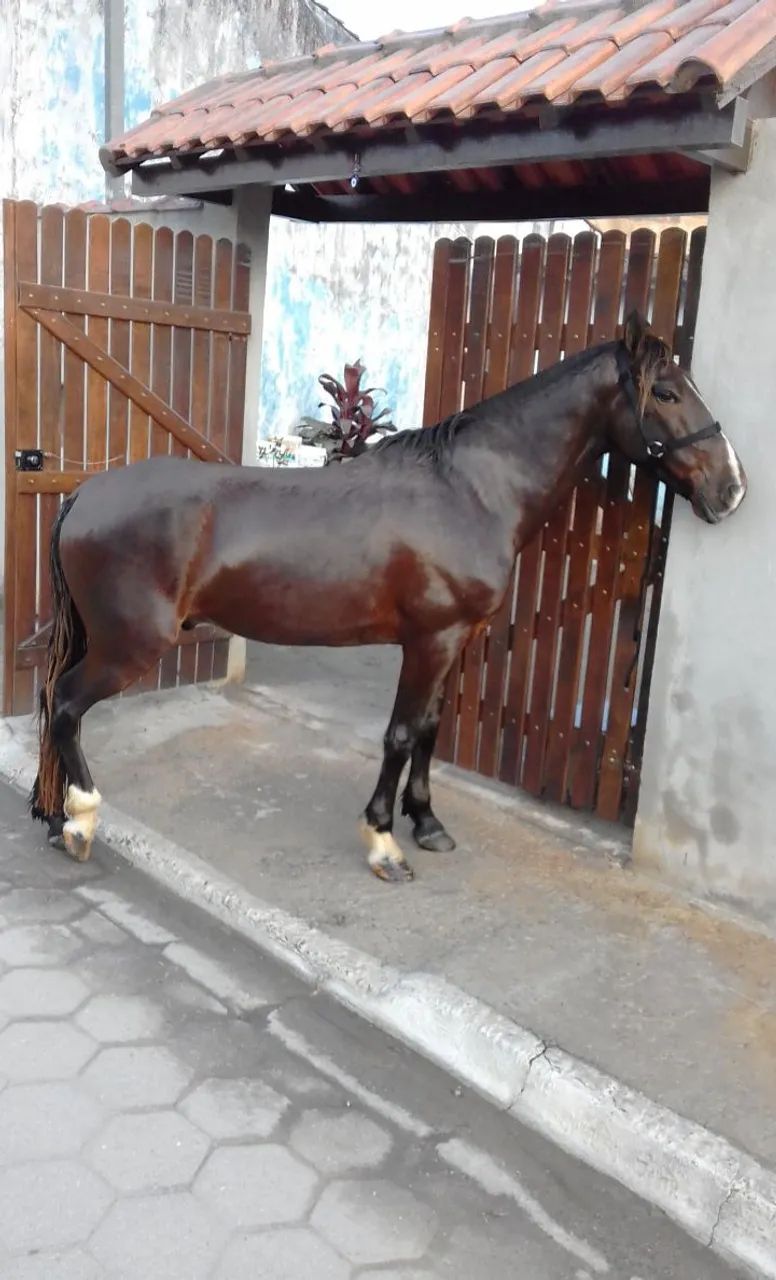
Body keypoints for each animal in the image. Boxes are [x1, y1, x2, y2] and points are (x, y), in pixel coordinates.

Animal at [29, 311, 746, 881]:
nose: (732, 487)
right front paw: (383, 842)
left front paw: (426, 823)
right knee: (64, 703)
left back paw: (59, 814)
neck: (469, 490)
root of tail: (85, 494)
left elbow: (429, 729)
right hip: (130, 646)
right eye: (667, 392)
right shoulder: (429, 641)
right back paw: (81, 820)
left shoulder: (454, 640)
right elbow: (400, 735)